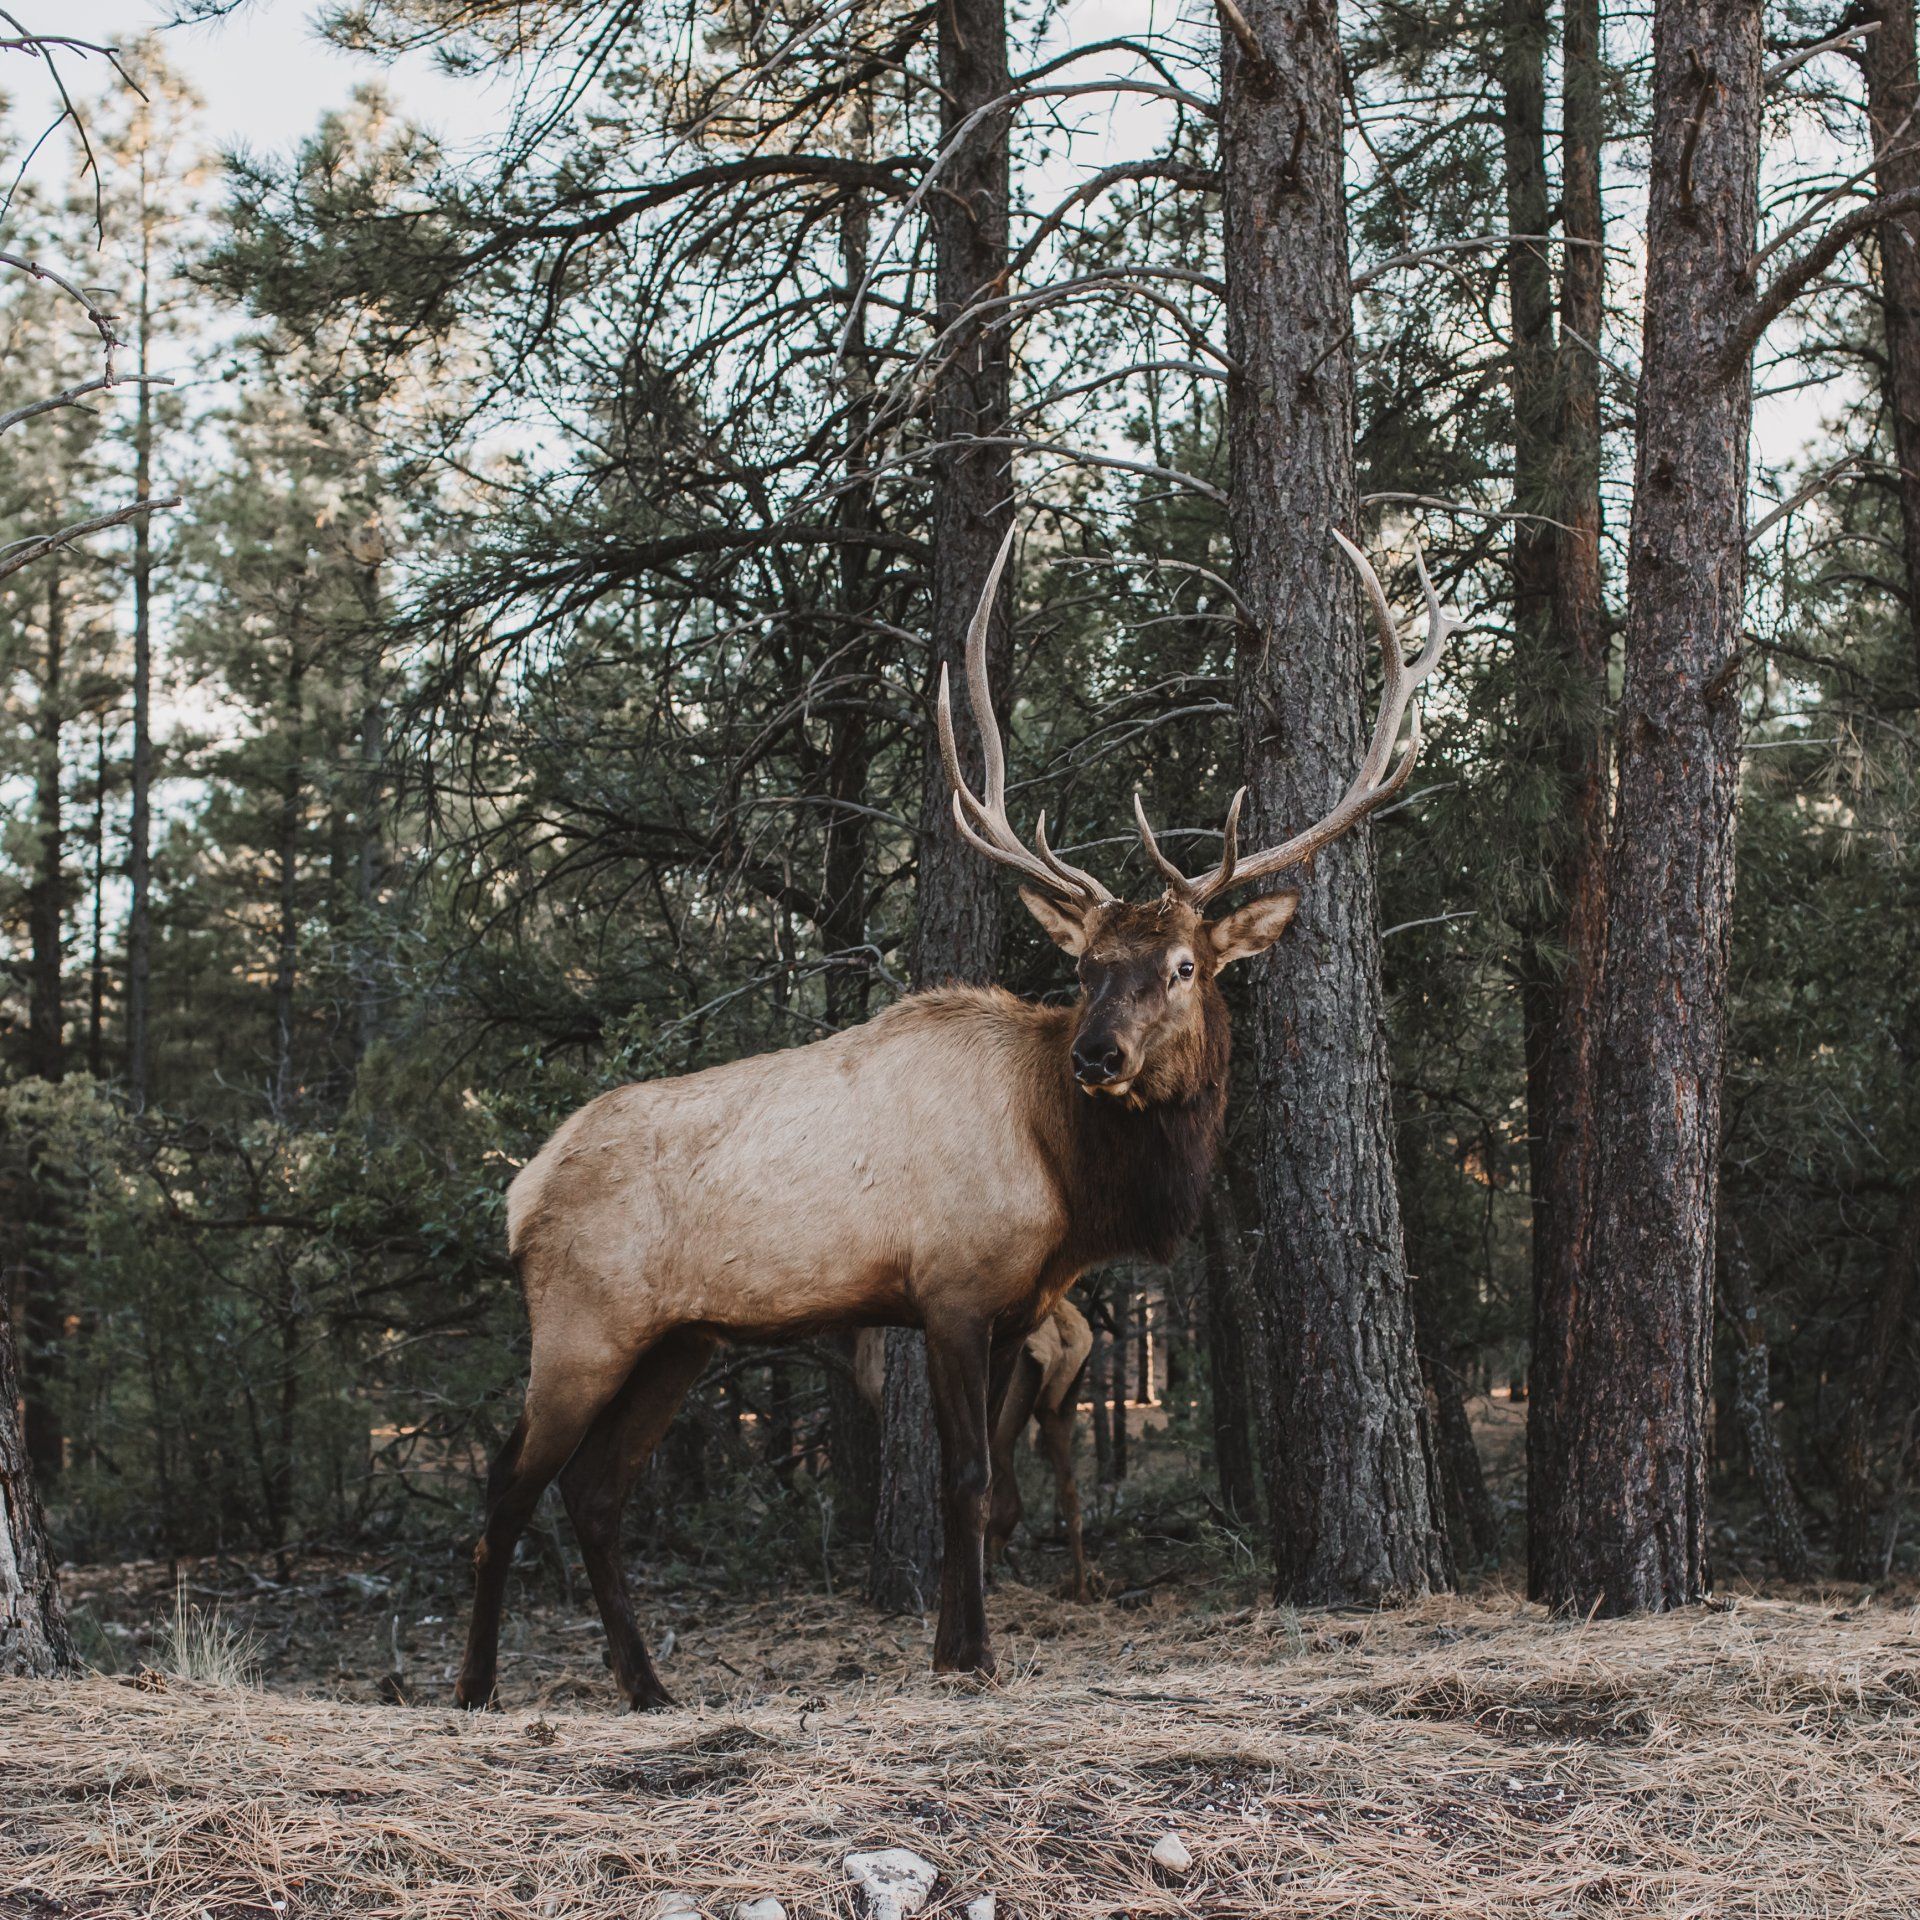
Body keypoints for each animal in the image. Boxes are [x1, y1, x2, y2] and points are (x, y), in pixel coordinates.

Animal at [456, 526, 1451, 1712]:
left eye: (1180, 965)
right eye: (1084, 966)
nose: (1097, 1055)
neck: (1071, 1184)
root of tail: (519, 1192)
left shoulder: (1019, 1306)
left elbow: (981, 1481)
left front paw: (950, 1646)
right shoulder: (952, 1290)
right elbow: (970, 1478)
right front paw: (971, 1653)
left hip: (678, 1339)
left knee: (595, 1494)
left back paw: (650, 1687)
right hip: (581, 1322)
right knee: (507, 1486)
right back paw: (475, 1687)